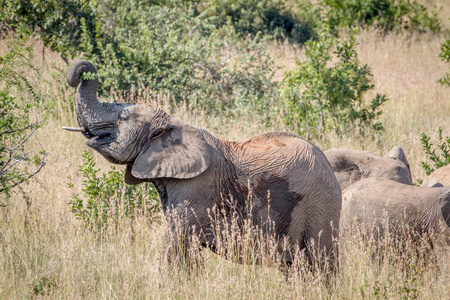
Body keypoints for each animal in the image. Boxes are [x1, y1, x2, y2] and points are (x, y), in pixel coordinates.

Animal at [65, 60, 342, 268]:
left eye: (121, 118)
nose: (80, 73)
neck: (173, 125)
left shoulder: (196, 189)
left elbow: (177, 244)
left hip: (320, 203)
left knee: (320, 260)